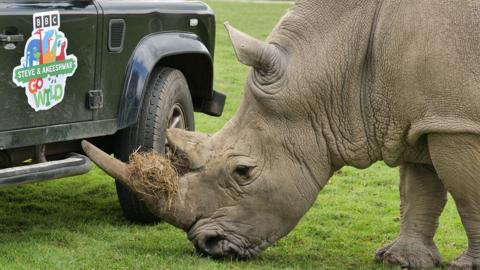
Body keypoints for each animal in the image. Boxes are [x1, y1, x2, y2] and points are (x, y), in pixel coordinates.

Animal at [82, 1, 480, 268]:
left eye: (243, 171)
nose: (207, 245)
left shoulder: (455, 121)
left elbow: (466, 193)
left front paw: (466, 266)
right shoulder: (424, 116)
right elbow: (418, 190)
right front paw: (400, 260)